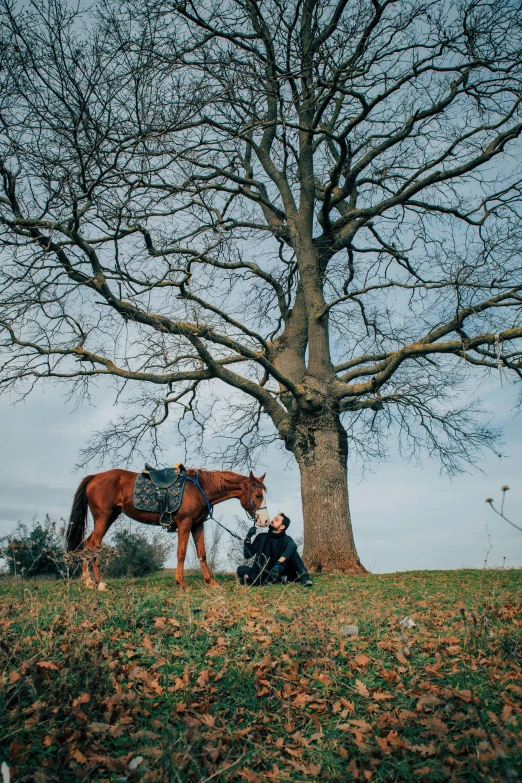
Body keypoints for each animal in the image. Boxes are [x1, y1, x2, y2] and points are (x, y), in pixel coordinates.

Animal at [67, 468, 266, 592]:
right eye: (258, 495)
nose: (264, 520)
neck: (199, 489)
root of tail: (94, 477)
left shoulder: (197, 525)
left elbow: (202, 553)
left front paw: (210, 582)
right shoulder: (185, 524)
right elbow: (181, 553)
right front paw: (182, 584)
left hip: (108, 517)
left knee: (87, 543)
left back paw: (87, 581)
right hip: (104, 517)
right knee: (94, 545)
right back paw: (99, 583)